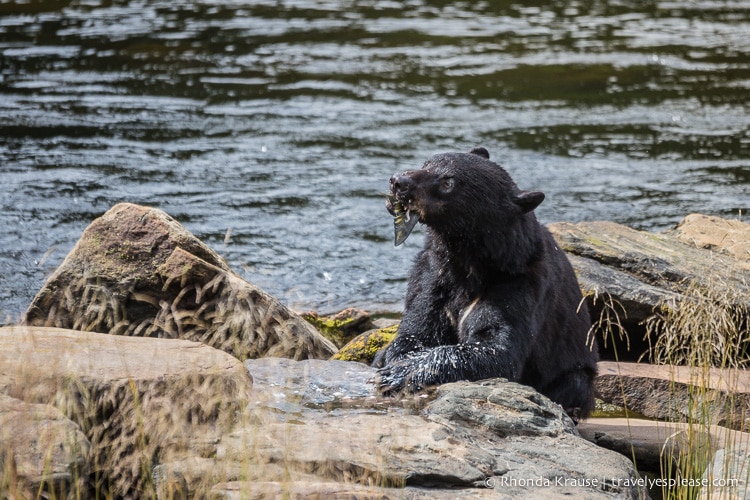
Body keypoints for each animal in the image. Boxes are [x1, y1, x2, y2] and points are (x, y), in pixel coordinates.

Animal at [374, 146, 600, 420]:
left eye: (448, 182)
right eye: (427, 162)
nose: (398, 181)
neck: (468, 263)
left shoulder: (520, 286)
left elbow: (497, 347)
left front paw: (401, 374)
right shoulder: (433, 275)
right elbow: (417, 329)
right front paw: (395, 362)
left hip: (575, 372)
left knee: (574, 384)